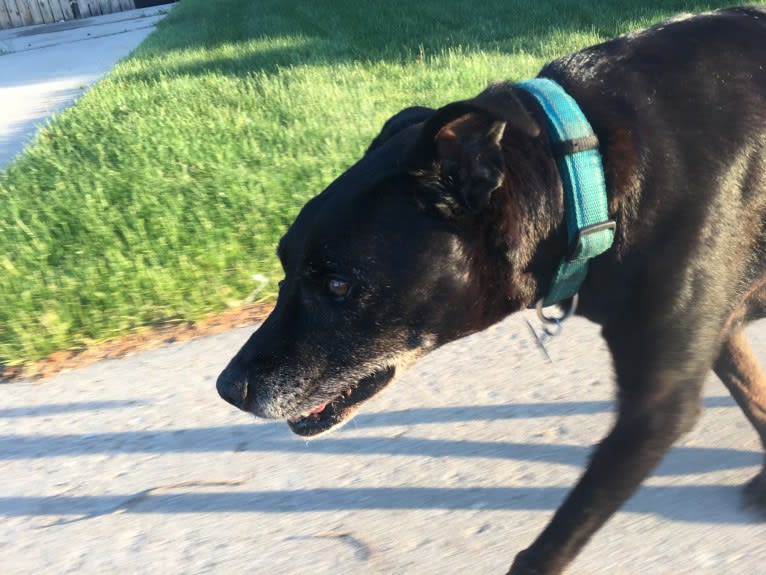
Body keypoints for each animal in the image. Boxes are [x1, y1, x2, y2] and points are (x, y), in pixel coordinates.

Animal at [218, 6, 766, 572]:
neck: (587, 176)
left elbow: (552, 544)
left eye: (338, 284)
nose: (228, 388)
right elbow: (756, 398)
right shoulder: (719, 336)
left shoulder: (657, 405)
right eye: (283, 264)